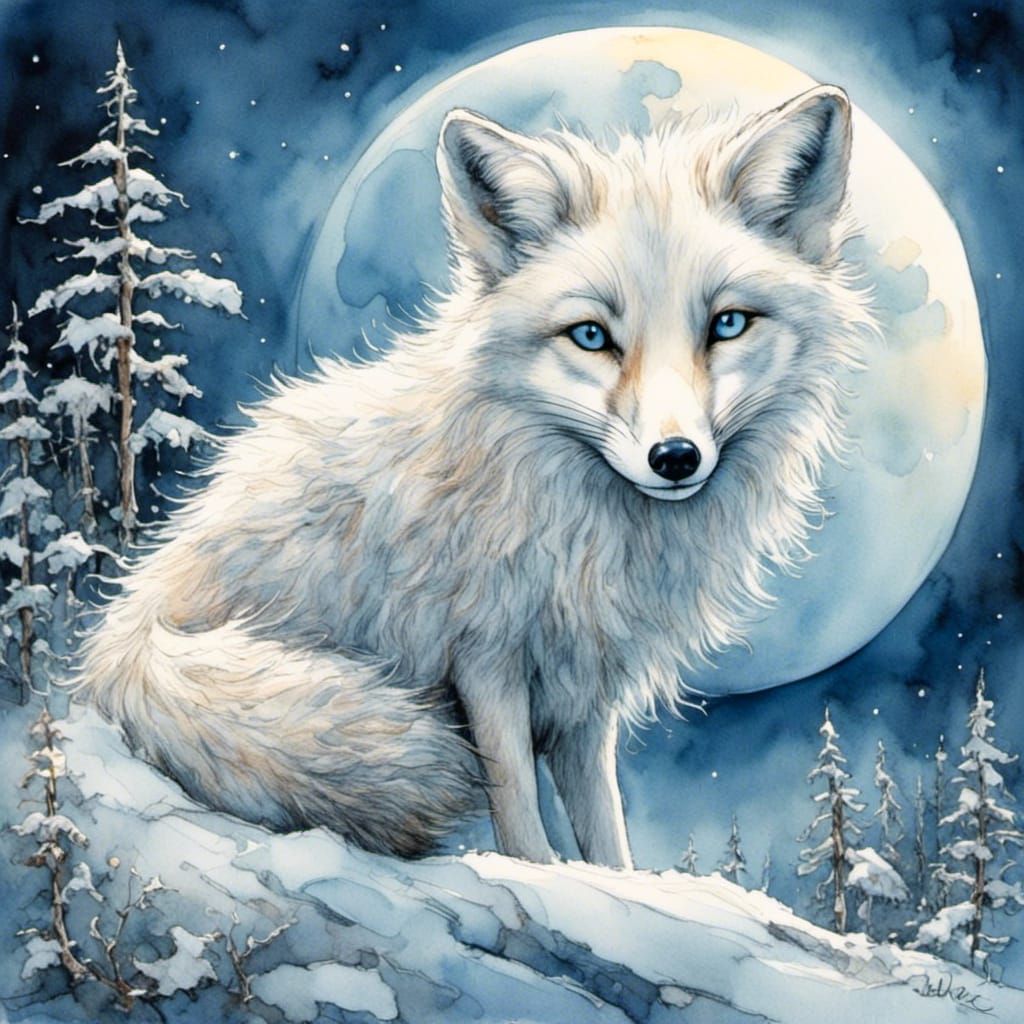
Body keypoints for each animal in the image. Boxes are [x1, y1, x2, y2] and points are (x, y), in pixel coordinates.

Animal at [79, 84, 876, 869]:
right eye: (592, 336)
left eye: (728, 324)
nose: (675, 457)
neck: (582, 523)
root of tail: (129, 632)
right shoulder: (486, 656)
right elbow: (516, 799)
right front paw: (538, 875)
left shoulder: (586, 688)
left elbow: (605, 826)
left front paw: (618, 885)